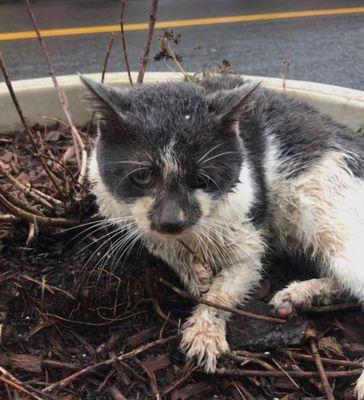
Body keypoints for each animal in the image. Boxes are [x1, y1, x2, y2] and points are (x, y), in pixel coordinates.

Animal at [80, 74, 364, 396]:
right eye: (142, 177)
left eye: (200, 180)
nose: (171, 221)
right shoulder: (119, 211)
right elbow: (155, 240)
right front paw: (194, 272)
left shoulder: (248, 245)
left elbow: (223, 292)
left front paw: (206, 332)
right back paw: (304, 295)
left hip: (322, 215)